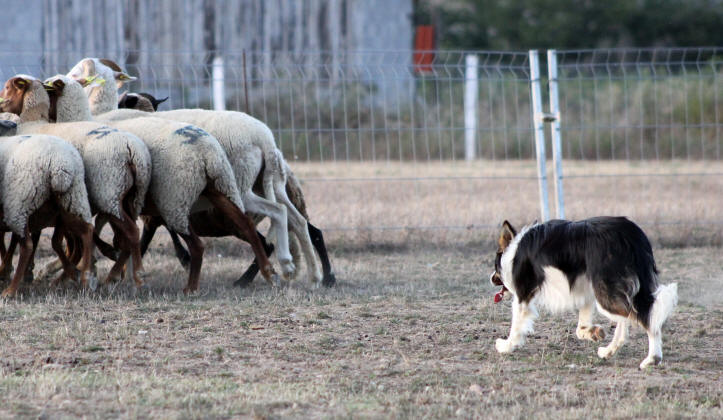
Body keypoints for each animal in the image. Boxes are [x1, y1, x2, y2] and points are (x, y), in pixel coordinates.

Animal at [1, 74, 151, 288]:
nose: (0, 105)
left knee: (131, 232)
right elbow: (69, 241)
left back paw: (134, 275)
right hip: (131, 197)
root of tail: (133, 150)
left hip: (109, 194)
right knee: (125, 237)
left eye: (7, 87)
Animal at [492, 217, 680, 368]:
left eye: (495, 267)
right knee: (629, 318)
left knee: (642, 316)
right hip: (609, 290)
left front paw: (506, 346)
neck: (513, 250)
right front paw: (592, 332)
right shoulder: (584, 290)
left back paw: (652, 359)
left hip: (606, 292)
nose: (491, 278)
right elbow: (580, 327)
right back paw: (608, 351)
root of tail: (632, 236)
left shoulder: (523, 294)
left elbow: (516, 324)